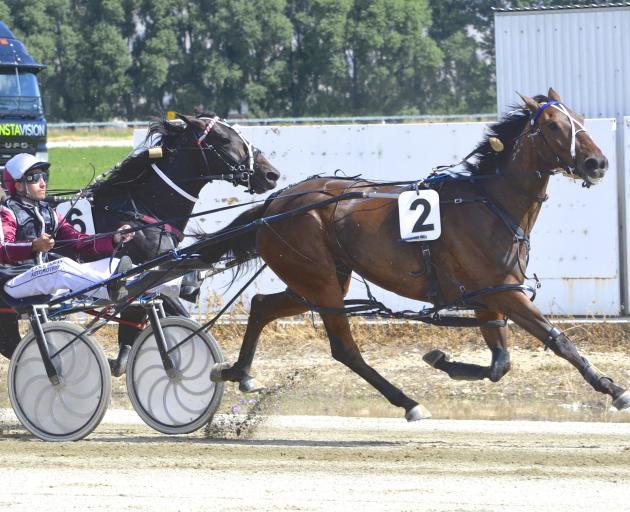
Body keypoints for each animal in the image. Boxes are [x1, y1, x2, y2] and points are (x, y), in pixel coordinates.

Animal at [199, 89, 630, 420]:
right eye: (555, 125)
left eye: (580, 119)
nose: (597, 162)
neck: (490, 202)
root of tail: (275, 203)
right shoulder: (505, 292)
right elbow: (558, 341)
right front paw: (613, 389)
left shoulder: (487, 297)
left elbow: (500, 363)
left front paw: (442, 360)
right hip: (319, 281)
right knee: (345, 349)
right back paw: (408, 402)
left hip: (317, 280)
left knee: (261, 305)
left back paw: (239, 371)